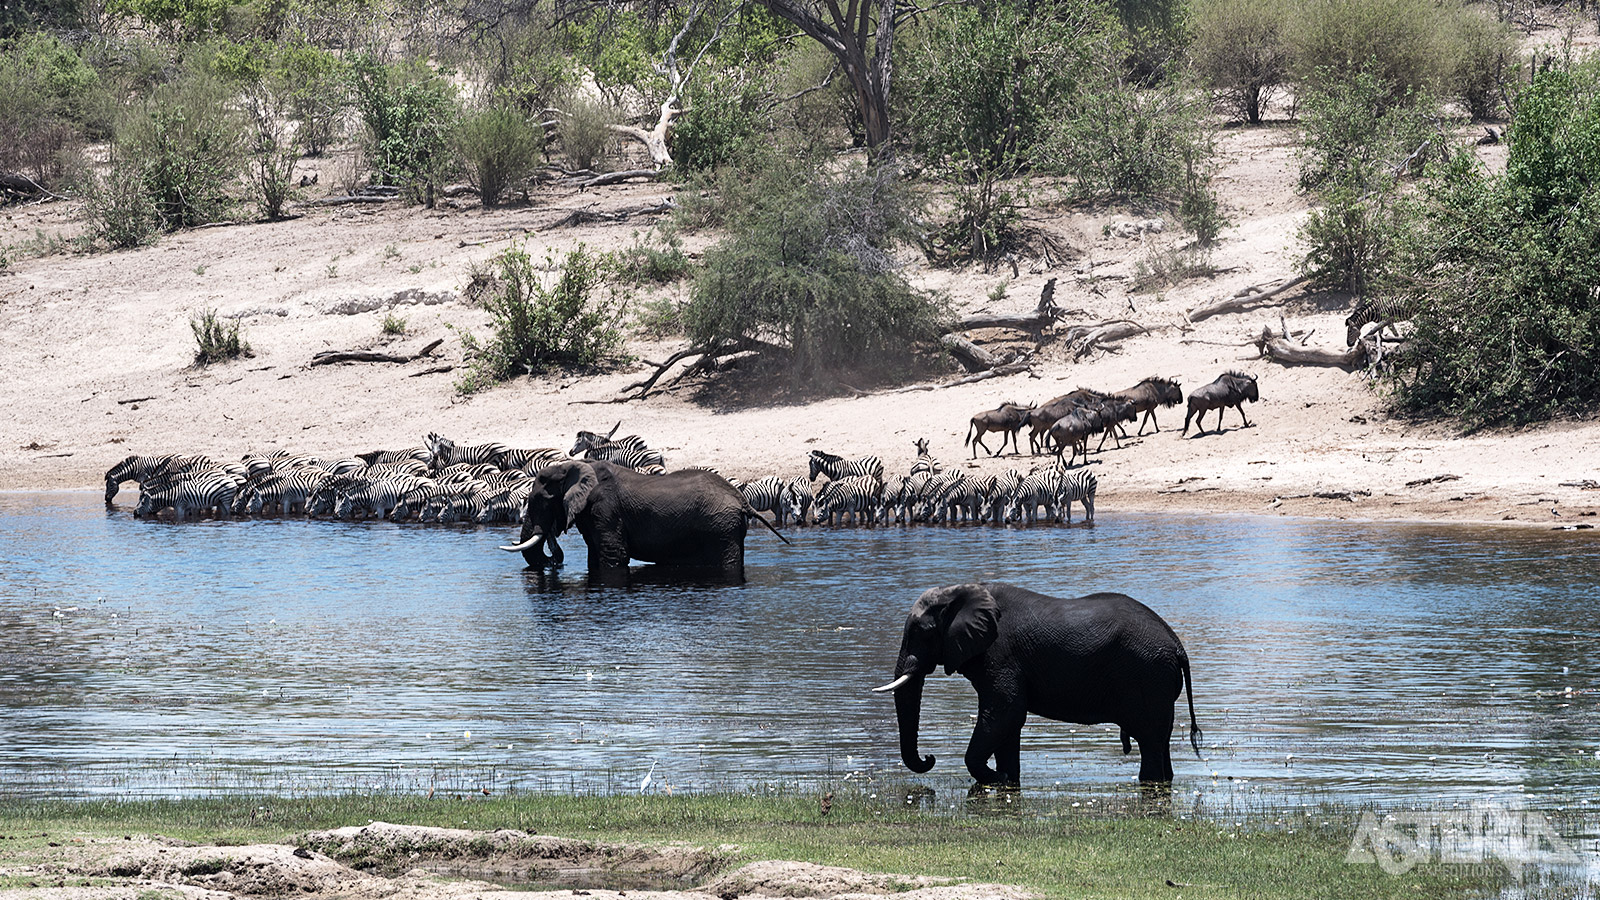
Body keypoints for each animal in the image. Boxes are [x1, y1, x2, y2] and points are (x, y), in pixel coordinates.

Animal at [492, 461, 780, 566]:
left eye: (540, 500)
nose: (555, 561)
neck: (571, 466)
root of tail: (741, 499)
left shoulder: (605, 509)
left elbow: (614, 556)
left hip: (720, 526)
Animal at [876, 582, 1203, 778]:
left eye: (920, 632)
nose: (929, 757)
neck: (958, 591)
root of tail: (1177, 644)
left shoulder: (1001, 653)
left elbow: (1006, 712)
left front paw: (996, 778)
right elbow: (1007, 723)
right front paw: (1008, 779)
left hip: (1147, 675)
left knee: (1149, 742)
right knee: (1161, 740)